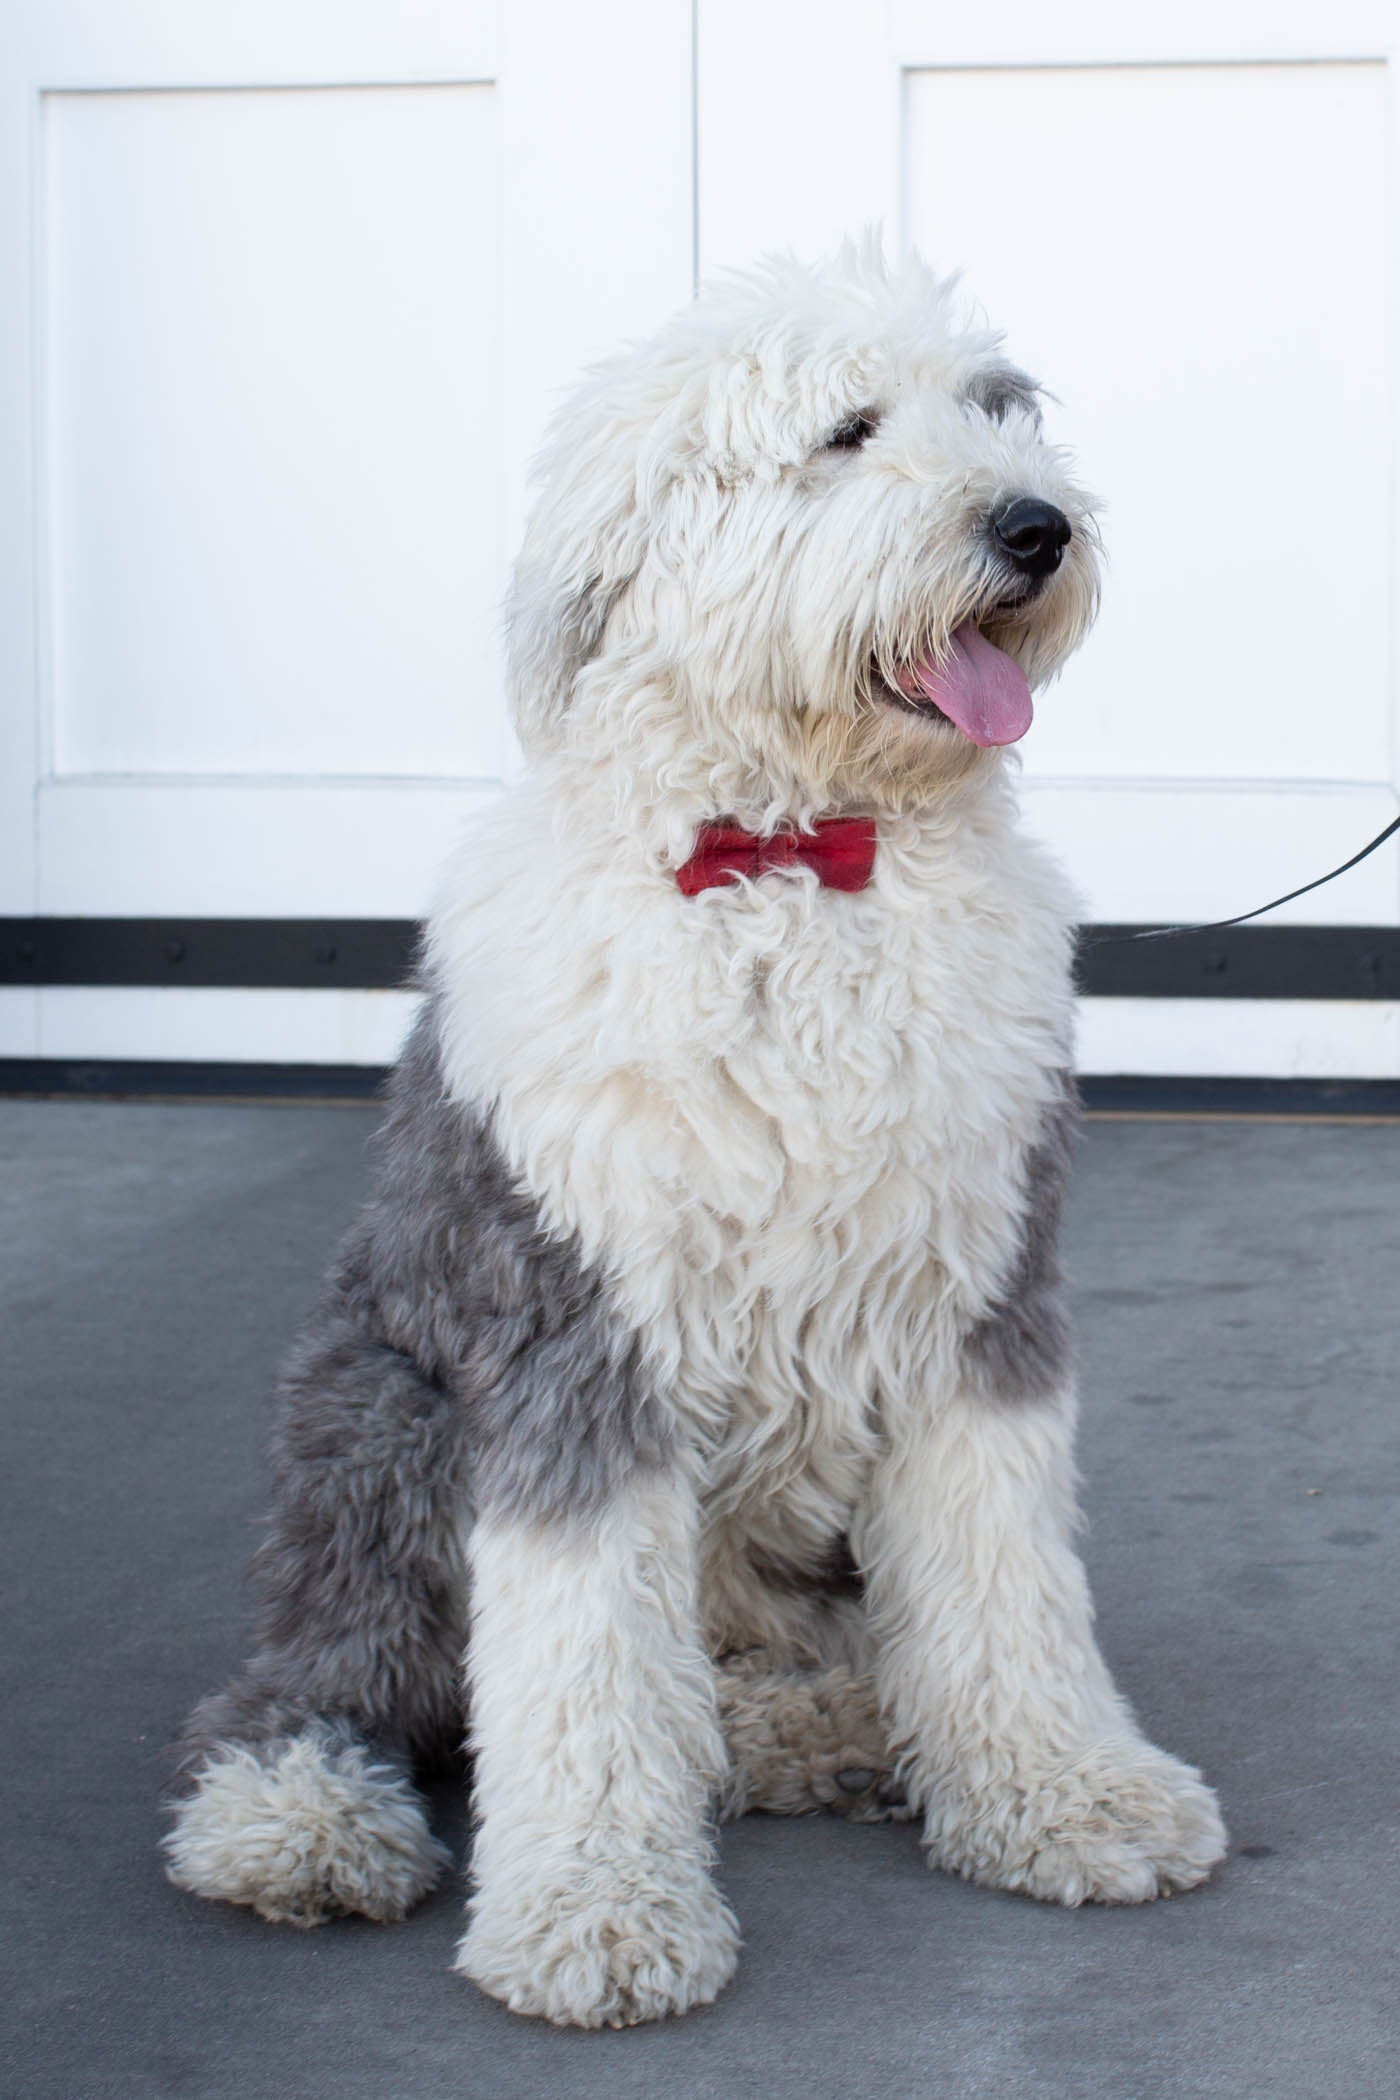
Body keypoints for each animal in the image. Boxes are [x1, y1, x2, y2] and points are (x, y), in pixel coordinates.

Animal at [170, 241, 1234, 2015]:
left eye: (1000, 410)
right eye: (847, 431)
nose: (1037, 527)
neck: (797, 858)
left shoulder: (975, 1301)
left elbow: (1006, 1578)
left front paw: (1068, 1792)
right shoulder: (573, 1336)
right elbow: (586, 1655)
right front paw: (598, 1913)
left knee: (745, 1672)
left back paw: (809, 1726)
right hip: (384, 1411)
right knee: (326, 1676)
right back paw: (299, 1817)